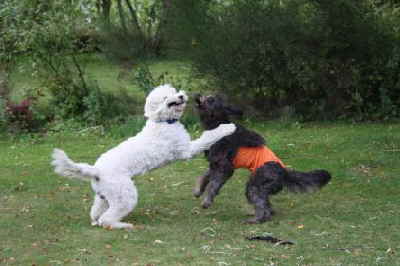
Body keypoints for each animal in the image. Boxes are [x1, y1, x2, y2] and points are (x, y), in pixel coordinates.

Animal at [51, 84, 236, 230]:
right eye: (166, 97)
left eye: (174, 91)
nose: (181, 96)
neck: (163, 122)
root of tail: (96, 170)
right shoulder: (186, 150)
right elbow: (208, 137)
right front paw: (228, 128)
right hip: (126, 196)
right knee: (107, 219)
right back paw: (123, 225)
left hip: (104, 196)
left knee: (96, 212)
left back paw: (96, 221)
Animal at [195, 94, 332, 223]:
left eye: (211, 99)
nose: (199, 96)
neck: (217, 124)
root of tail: (284, 172)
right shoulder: (214, 164)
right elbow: (204, 177)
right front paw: (198, 191)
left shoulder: (225, 167)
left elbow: (213, 184)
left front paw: (206, 201)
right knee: (267, 205)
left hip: (254, 186)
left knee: (262, 206)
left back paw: (256, 219)